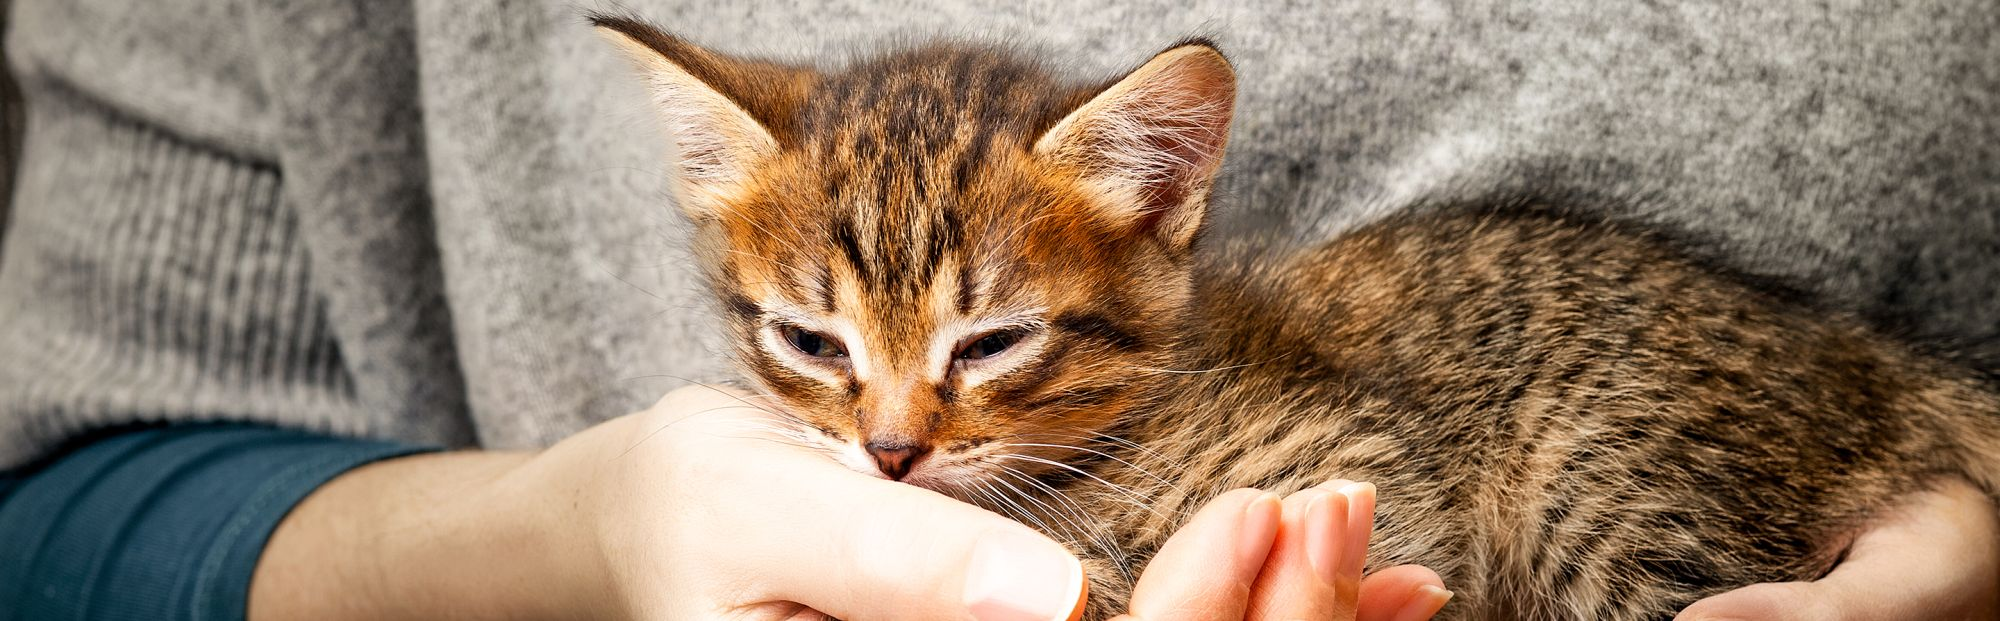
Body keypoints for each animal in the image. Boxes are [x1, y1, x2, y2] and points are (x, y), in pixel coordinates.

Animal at [592, 15, 2000, 621]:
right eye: (810, 343)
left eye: (989, 344)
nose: (888, 454)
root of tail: (1860, 360)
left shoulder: (1362, 479)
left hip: (1603, 496)